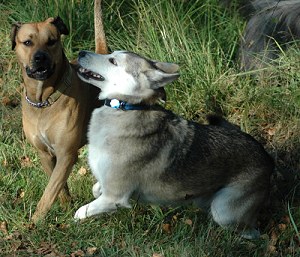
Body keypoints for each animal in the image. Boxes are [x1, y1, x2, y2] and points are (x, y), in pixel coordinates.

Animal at [10, 1, 106, 221]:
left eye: (52, 41)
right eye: (27, 42)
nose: (40, 58)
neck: (43, 100)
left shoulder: (66, 153)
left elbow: (48, 193)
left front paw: (36, 222)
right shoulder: (46, 154)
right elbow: (58, 187)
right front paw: (66, 206)